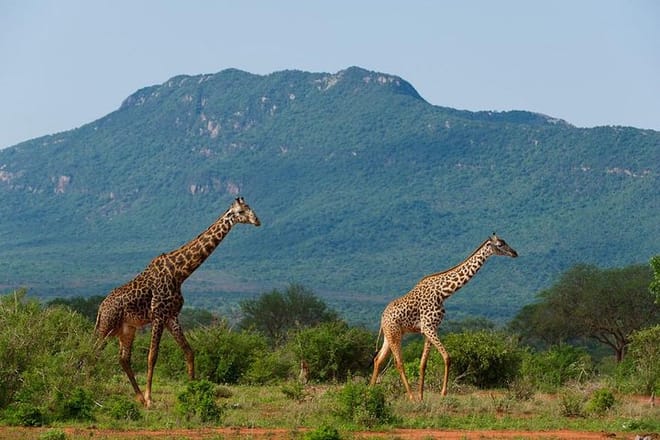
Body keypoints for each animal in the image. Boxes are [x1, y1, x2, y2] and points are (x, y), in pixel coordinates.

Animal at [95, 197, 260, 407]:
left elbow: (189, 351)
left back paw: (137, 397)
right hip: (107, 326)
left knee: (123, 359)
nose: (257, 221)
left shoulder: (171, 316)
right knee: (93, 351)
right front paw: (150, 399)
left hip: (126, 329)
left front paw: (193, 392)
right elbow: (152, 356)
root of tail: (100, 308)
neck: (179, 272)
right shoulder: (158, 315)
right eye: (240, 212)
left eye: (250, 208)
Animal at [370, 234, 517, 400]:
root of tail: (382, 318)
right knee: (398, 362)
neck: (443, 293)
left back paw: (370, 390)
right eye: (500, 244)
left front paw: (422, 397)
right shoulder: (428, 327)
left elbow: (423, 363)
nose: (514, 253)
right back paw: (410, 397)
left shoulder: (430, 329)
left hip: (390, 335)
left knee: (378, 359)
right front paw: (442, 393)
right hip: (394, 334)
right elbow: (447, 357)